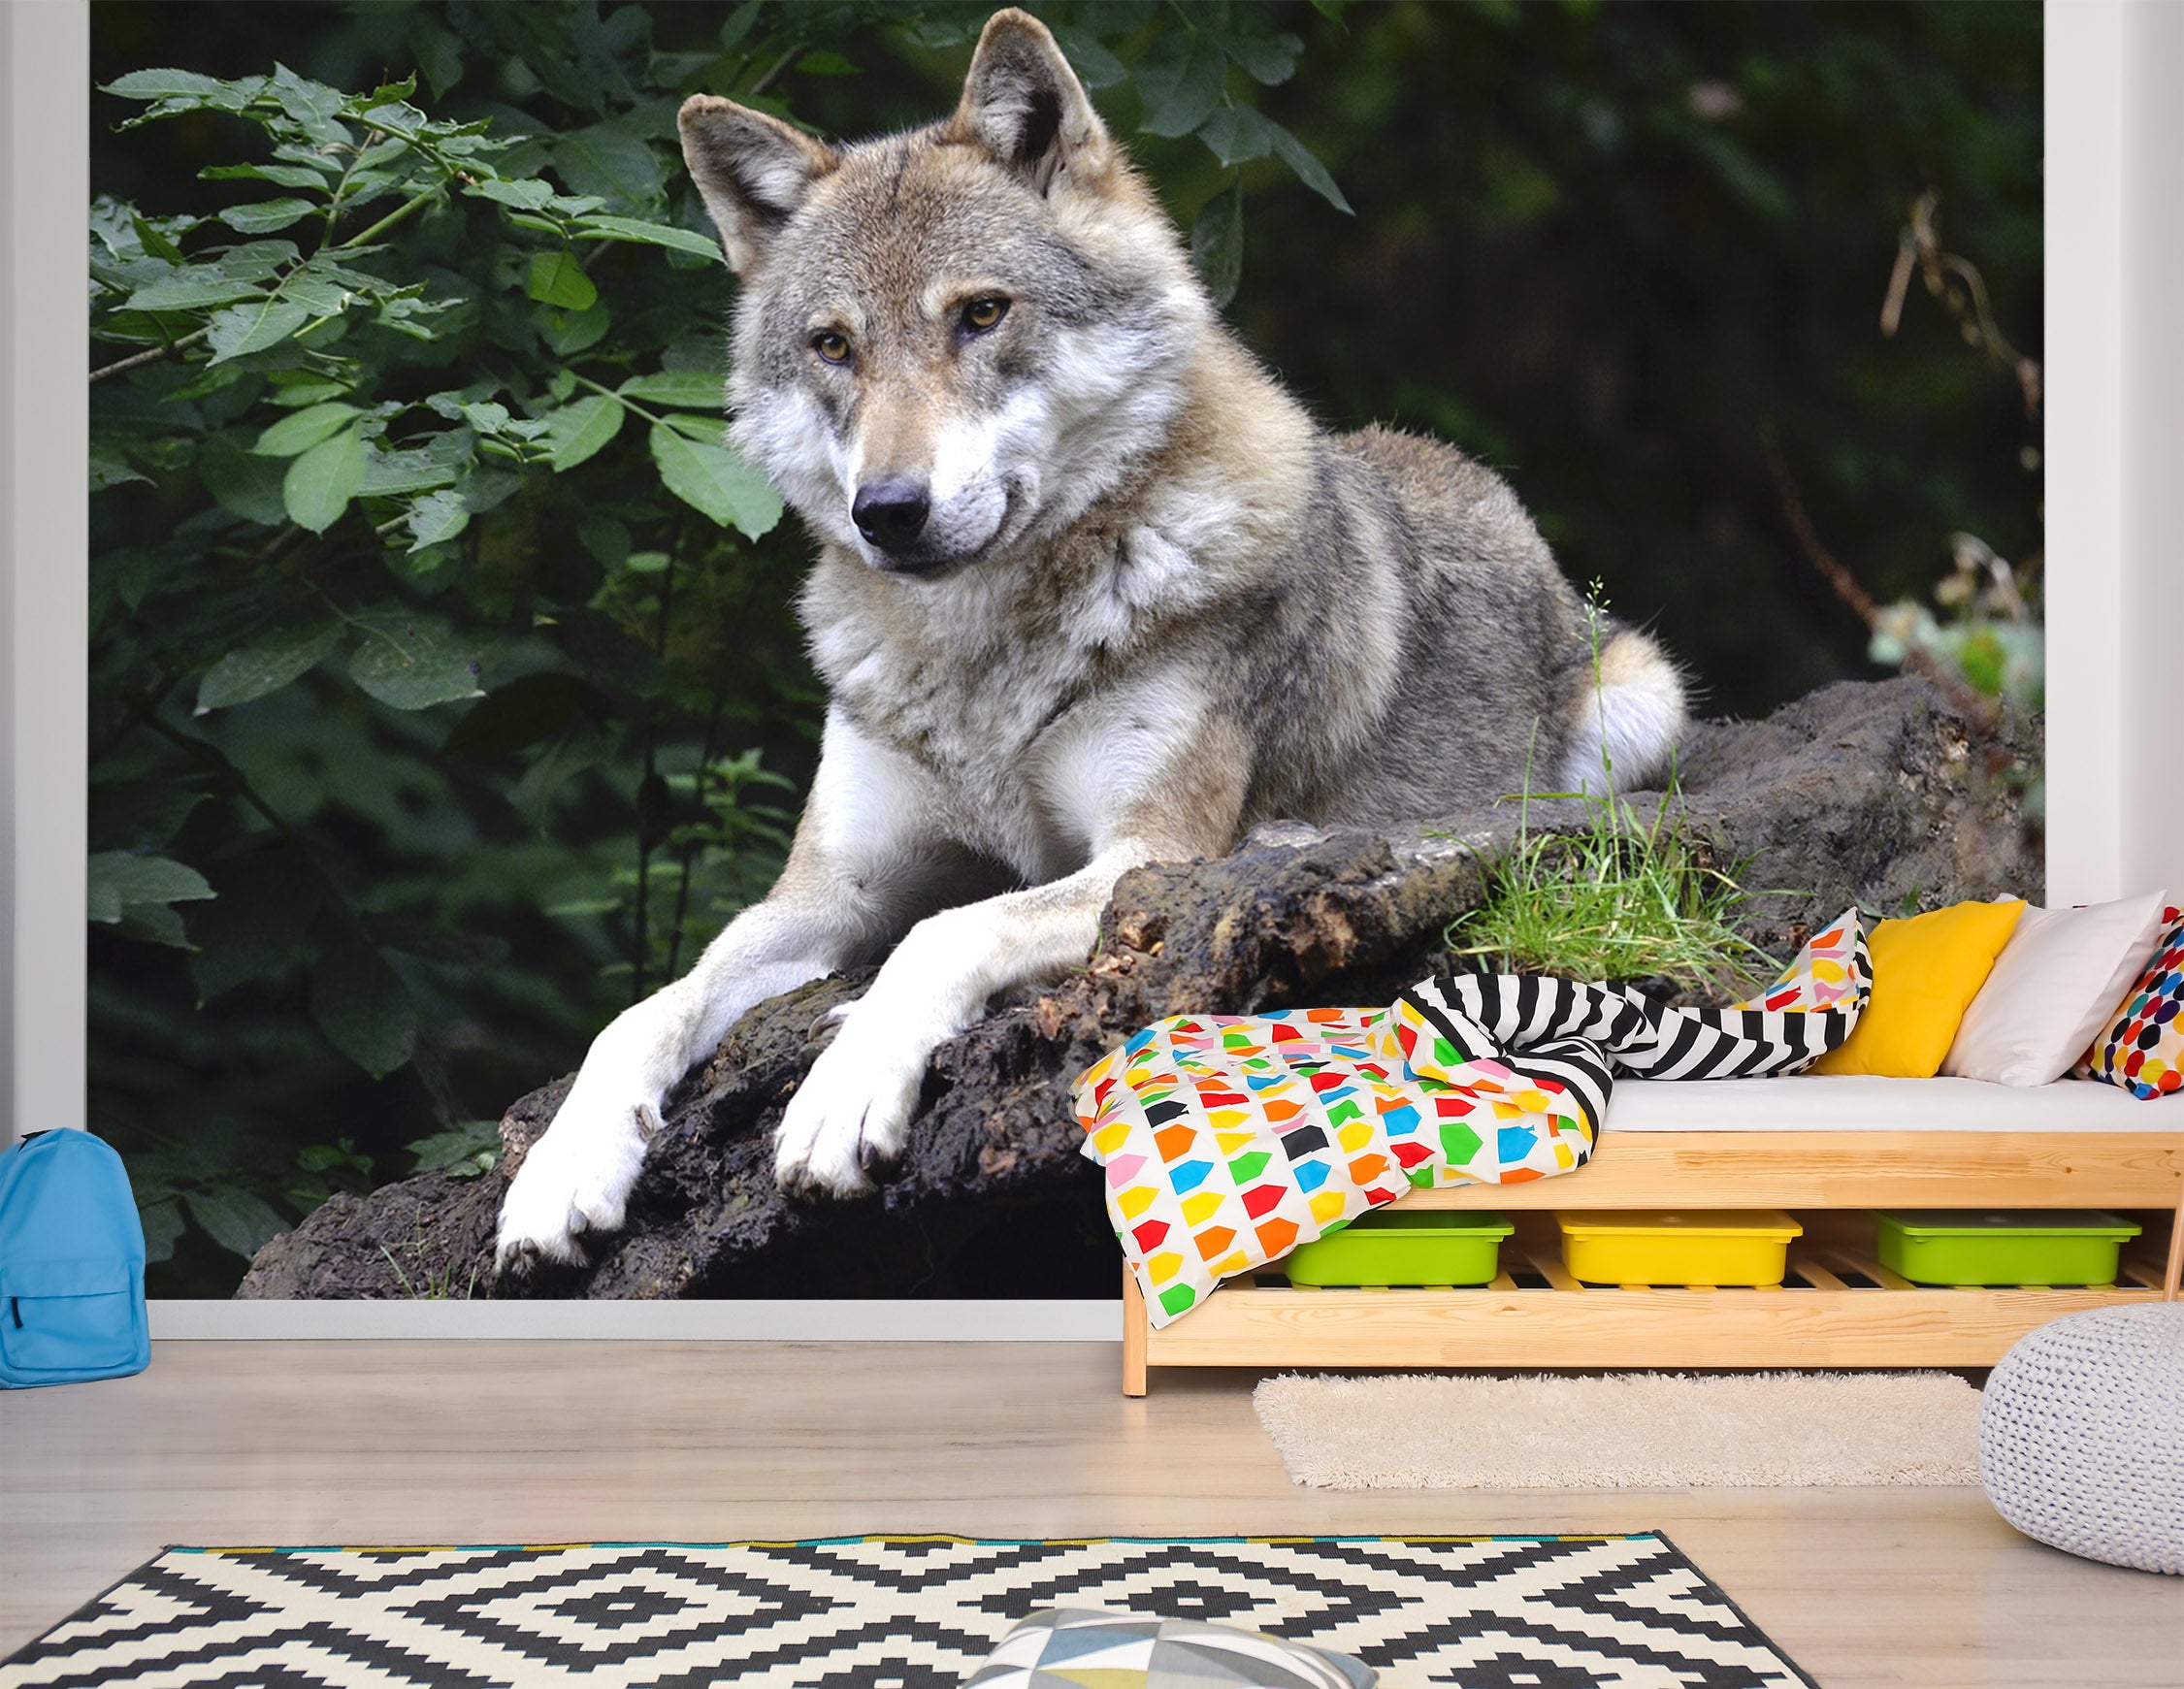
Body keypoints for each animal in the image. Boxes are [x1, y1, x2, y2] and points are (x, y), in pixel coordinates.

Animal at [494, 8, 1687, 1268]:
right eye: (832, 346)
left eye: (980, 313)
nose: (888, 511)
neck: (980, 662)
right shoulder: (825, 894)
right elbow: (645, 1008)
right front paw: (561, 1169)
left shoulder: (1139, 858)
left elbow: (943, 932)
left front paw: (840, 1092)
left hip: (1638, 707)